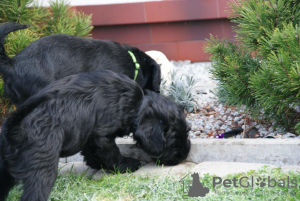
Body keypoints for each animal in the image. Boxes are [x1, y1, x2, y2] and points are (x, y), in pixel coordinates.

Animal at [0, 70, 191, 200]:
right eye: (173, 140)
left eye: (188, 132)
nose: (183, 156)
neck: (138, 103)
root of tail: (13, 127)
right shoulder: (102, 134)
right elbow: (112, 153)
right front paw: (125, 165)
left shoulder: (89, 134)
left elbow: (90, 149)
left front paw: (95, 163)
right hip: (42, 170)